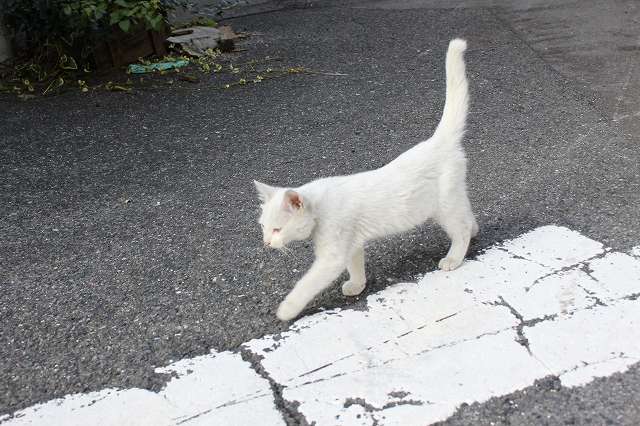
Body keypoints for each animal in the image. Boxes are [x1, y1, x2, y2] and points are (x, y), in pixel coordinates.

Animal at [252, 39, 478, 320]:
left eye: (277, 229)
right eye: (263, 227)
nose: (266, 242)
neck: (320, 210)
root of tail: (437, 140)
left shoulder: (332, 255)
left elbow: (306, 284)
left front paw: (286, 310)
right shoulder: (351, 244)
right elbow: (356, 265)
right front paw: (357, 285)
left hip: (443, 207)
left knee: (460, 228)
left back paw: (454, 258)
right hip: (454, 197)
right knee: (467, 216)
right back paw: (475, 231)